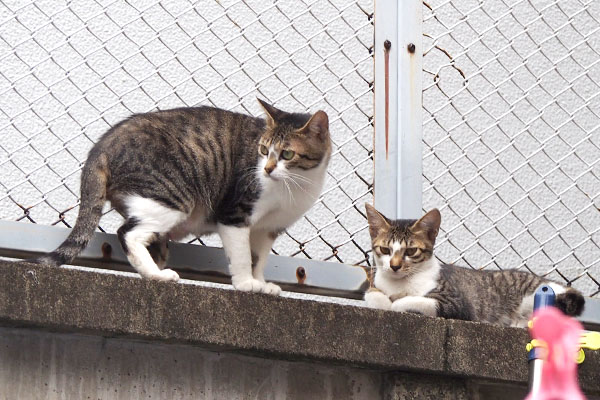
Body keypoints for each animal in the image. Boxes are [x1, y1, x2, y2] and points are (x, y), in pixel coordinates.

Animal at [34, 99, 330, 294]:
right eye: (263, 150)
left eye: (287, 154)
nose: (267, 169)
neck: (296, 185)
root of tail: (101, 146)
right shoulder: (235, 213)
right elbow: (243, 255)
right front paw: (246, 283)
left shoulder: (269, 228)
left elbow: (259, 257)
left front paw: (261, 283)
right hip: (173, 197)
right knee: (127, 233)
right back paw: (157, 276)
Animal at [364, 205, 584, 326]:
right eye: (385, 250)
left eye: (410, 251)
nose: (394, 266)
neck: (399, 284)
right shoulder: (377, 287)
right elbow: (373, 295)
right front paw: (385, 300)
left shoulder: (456, 303)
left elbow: (411, 301)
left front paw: (398, 302)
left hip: (536, 293)